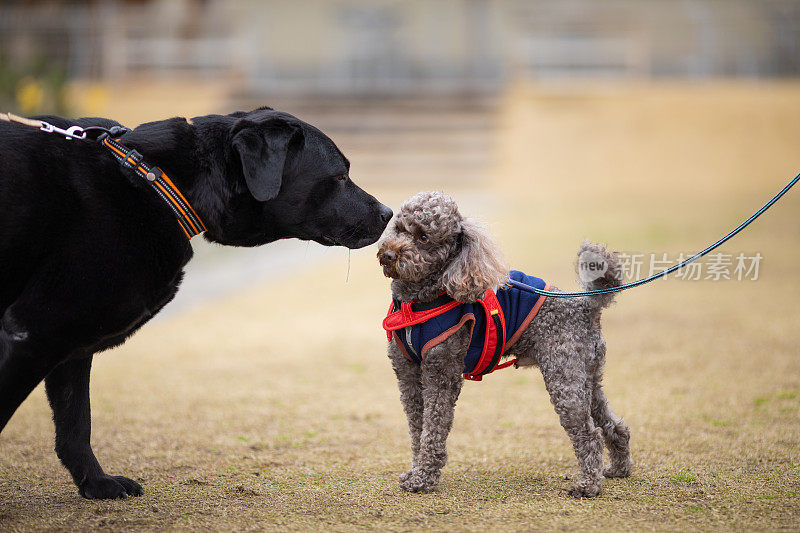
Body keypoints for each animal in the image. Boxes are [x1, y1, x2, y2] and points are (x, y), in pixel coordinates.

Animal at [0, 108, 392, 498]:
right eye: (339, 176)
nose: (388, 213)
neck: (155, 182)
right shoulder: (36, 330)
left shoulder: (71, 342)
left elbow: (76, 423)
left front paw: (96, 484)